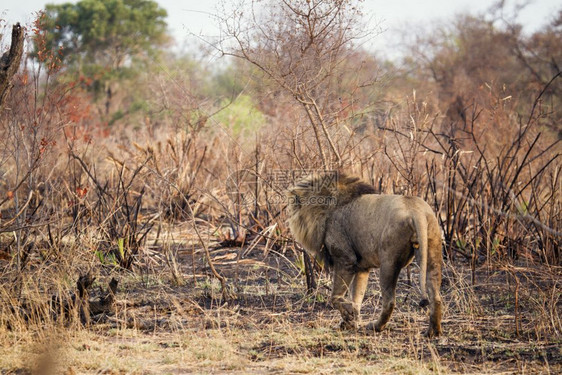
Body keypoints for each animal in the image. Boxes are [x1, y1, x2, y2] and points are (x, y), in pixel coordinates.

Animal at [288, 173, 442, 338]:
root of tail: (416, 211)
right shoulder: (362, 268)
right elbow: (357, 295)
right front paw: (350, 321)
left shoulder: (345, 259)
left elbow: (335, 296)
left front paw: (349, 314)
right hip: (432, 250)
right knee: (435, 296)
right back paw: (433, 331)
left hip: (388, 262)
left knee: (389, 301)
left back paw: (375, 326)